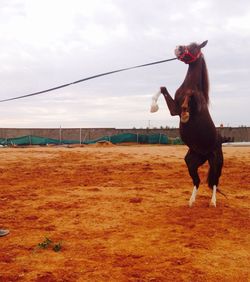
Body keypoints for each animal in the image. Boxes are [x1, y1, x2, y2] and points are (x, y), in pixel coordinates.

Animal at [154, 40, 223, 207]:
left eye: (194, 47)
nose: (178, 48)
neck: (190, 85)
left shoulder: (195, 104)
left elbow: (190, 97)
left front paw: (186, 114)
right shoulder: (174, 110)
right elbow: (163, 88)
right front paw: (153, 106)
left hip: (216, 162)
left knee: (215, 181)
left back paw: (213, 202)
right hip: (191, 162)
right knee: (197, 181)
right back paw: (191, 201)